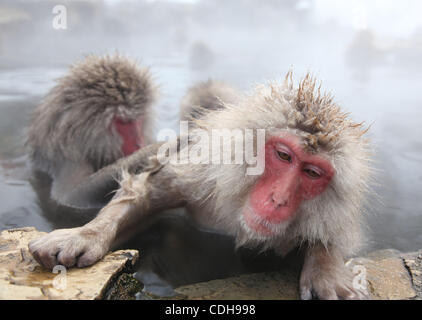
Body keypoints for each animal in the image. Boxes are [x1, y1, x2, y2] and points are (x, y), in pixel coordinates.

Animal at [28, 73, 372, 300]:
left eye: (312, 172)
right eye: (283, 155)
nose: (278, 199)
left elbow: (331, 233)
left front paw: (327, 269)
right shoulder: (204, 179)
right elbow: (147, 194)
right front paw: (84, 235)